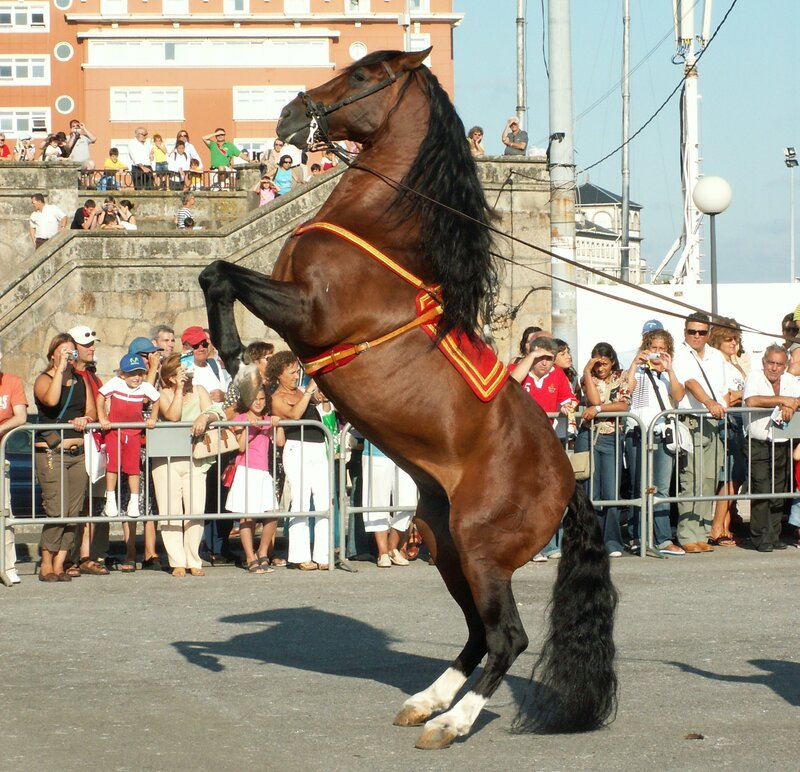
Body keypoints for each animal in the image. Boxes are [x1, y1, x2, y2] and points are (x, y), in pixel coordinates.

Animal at [199, 48, 617, 750]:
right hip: (442, 540)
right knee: (479, 633)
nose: (289, 116)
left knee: (507, 637)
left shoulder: (309, 315)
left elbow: (220, 275)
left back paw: (451, 723)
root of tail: (569, 483)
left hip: (480, 548)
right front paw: (241, 370)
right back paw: (427, 701)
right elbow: (216, 274)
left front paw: (237, 364)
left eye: (365, 76)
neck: (378, 231)